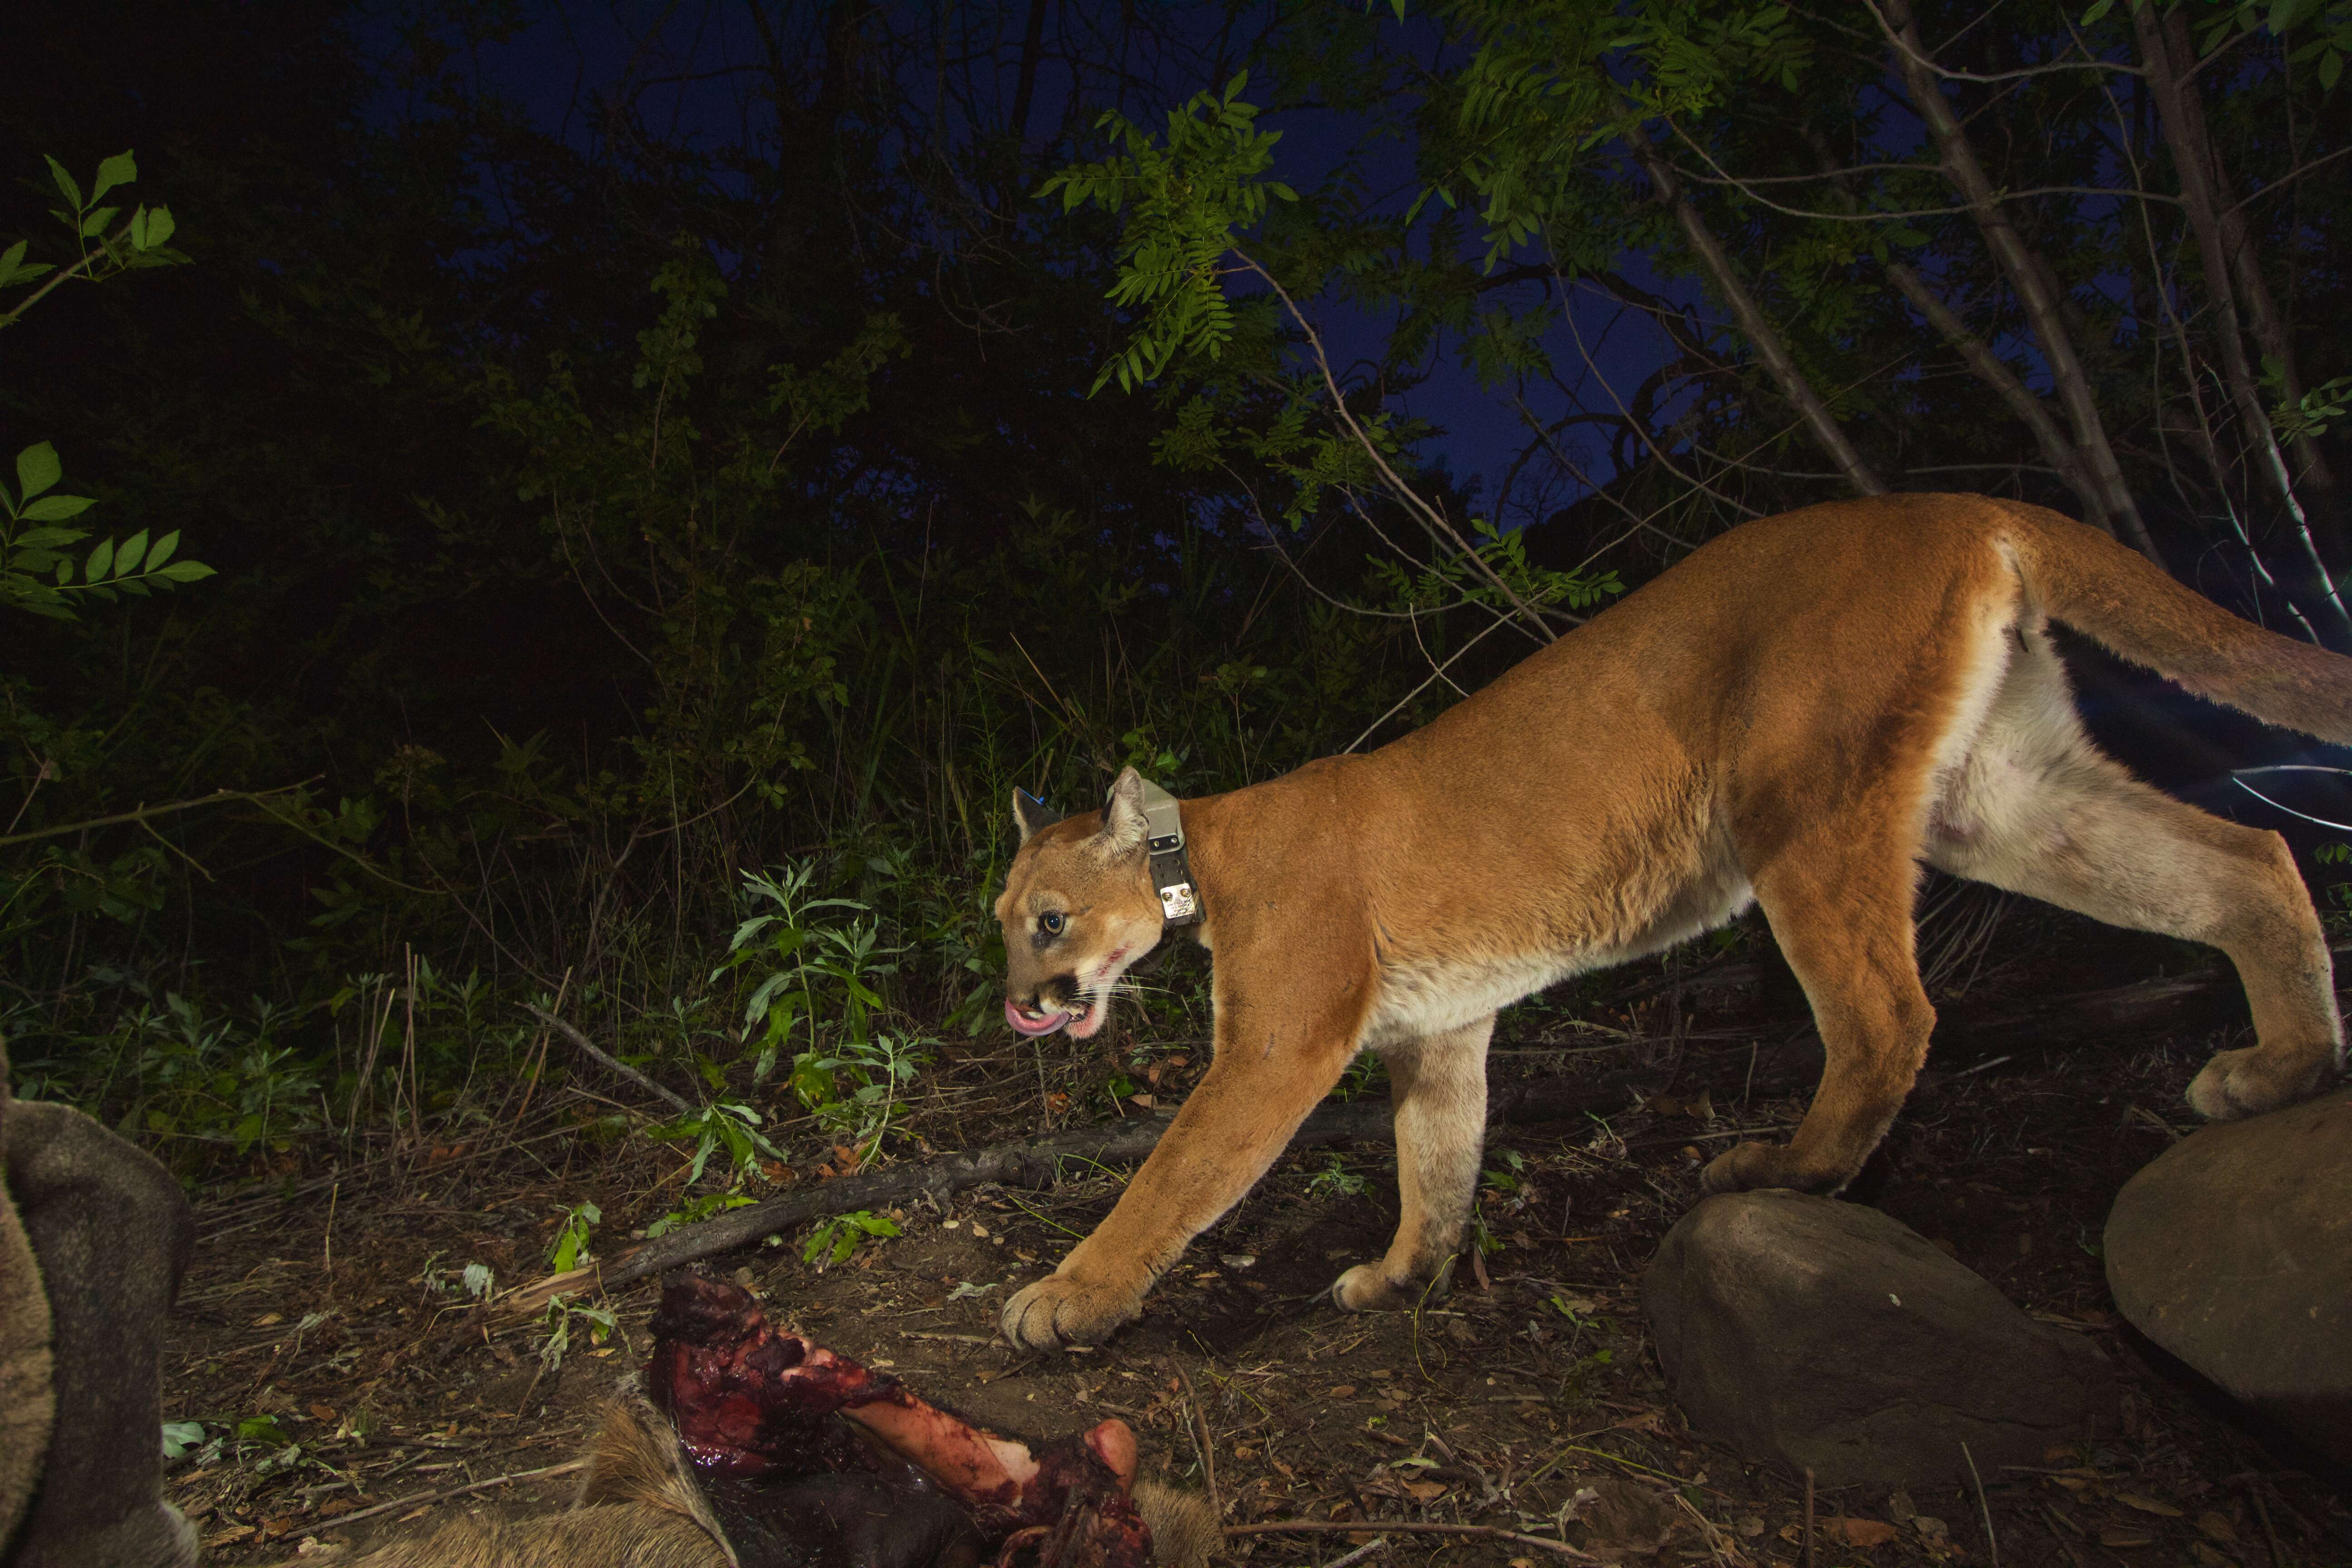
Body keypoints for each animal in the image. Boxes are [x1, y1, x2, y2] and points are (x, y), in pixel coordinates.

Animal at [992, 491, 2352, 1354]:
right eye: (1002, 920)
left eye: (1049, 921)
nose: (1016, 1000)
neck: (1200, 860)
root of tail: (1961, 503)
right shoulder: (1441, 1033)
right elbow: (1438, 1161)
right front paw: (1399, 1276)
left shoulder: (1282, 1041)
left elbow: (1175, 1176)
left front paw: (1064, 1300)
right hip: (1999, 798)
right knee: (2249, 853)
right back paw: (2284, 1067)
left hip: (1799, 806)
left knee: (1889, 1010)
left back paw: (1787, 1166)